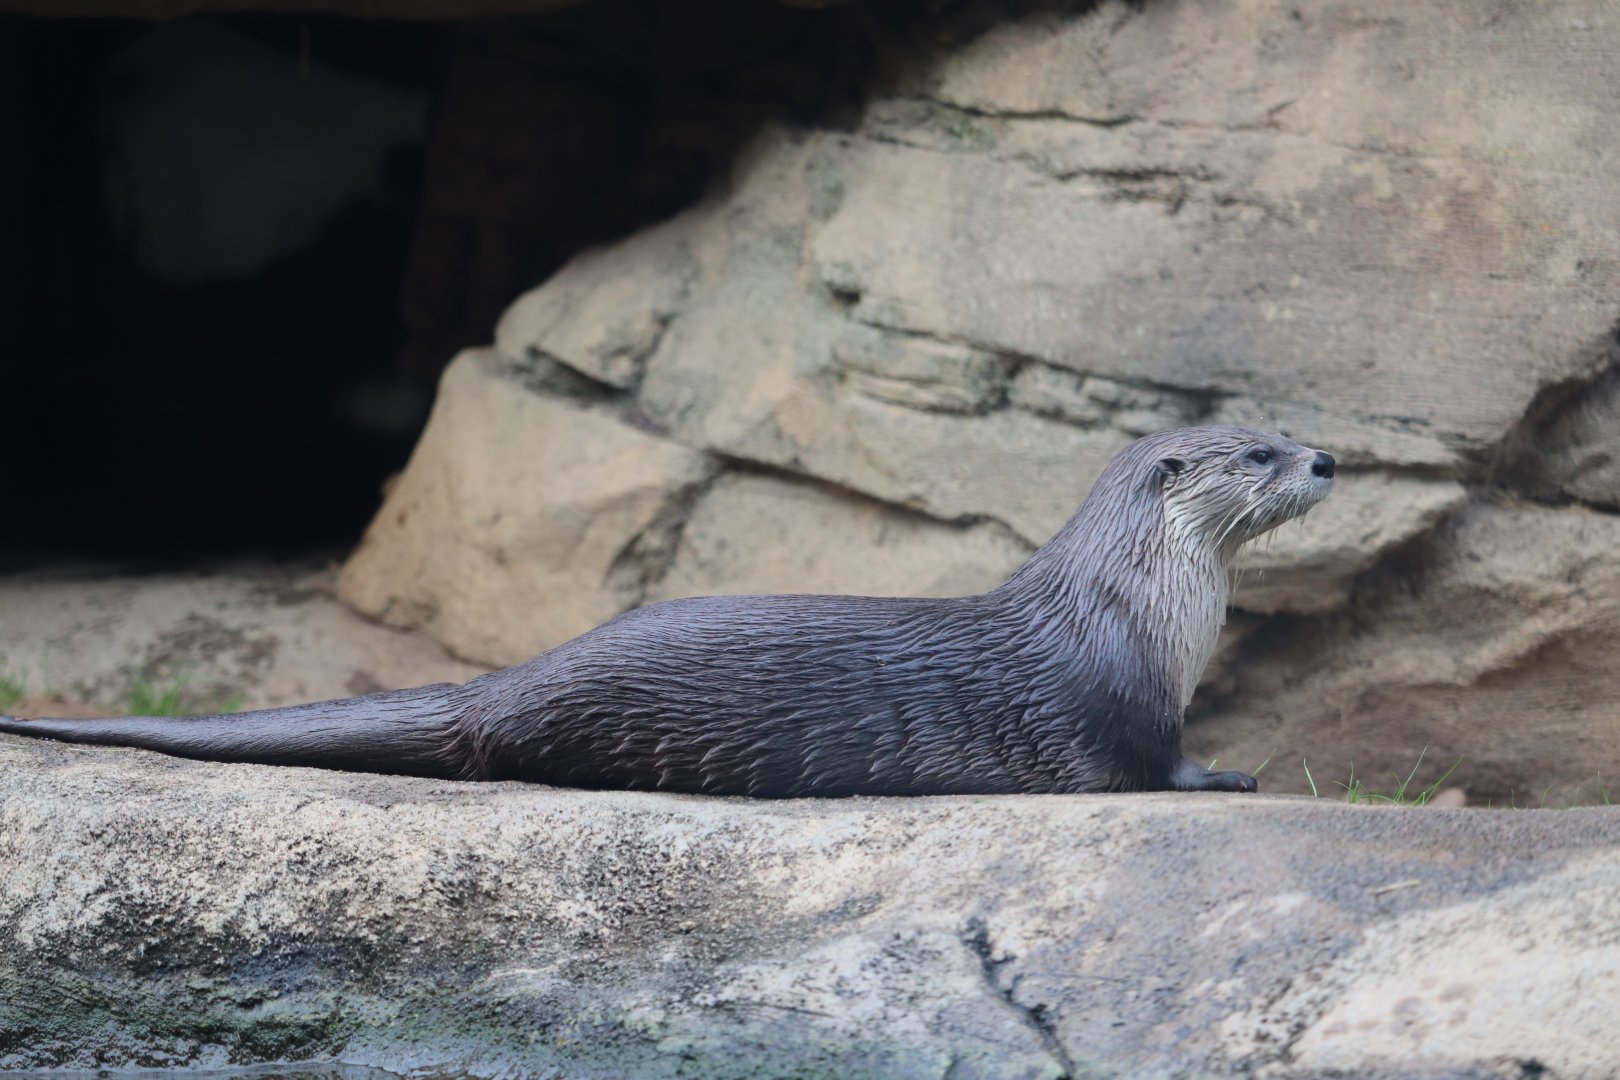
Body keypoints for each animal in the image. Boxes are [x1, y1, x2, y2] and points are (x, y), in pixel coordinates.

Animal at [0, 426, 1334, 797]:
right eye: (1259, 452)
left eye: (1286, 432)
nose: (1327, 458)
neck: (1149, 601)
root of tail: (504, 681)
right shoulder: (1124, 699)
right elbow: (1157, 767)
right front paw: (1232, 775)